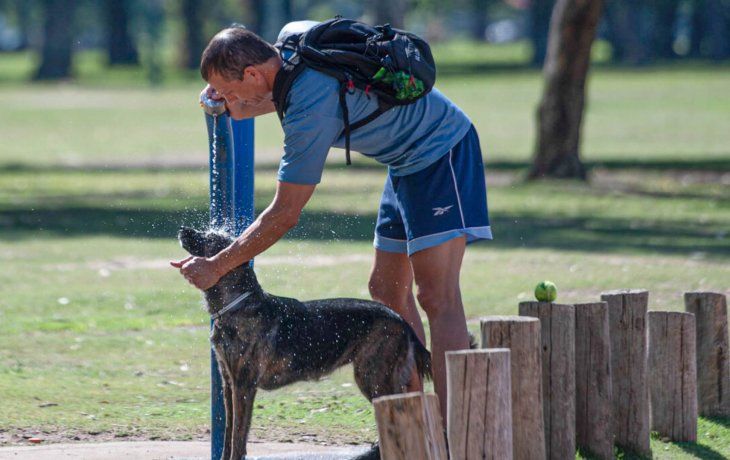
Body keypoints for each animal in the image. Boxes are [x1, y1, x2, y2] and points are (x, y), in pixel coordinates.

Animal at [177, 227, 430, 460]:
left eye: (210, 238)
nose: (182, 229)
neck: (238, 304)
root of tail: (401, 320)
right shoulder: (228, 383)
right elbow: (229, 433)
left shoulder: (244, 386)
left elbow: (239, 436)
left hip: (373, 377)